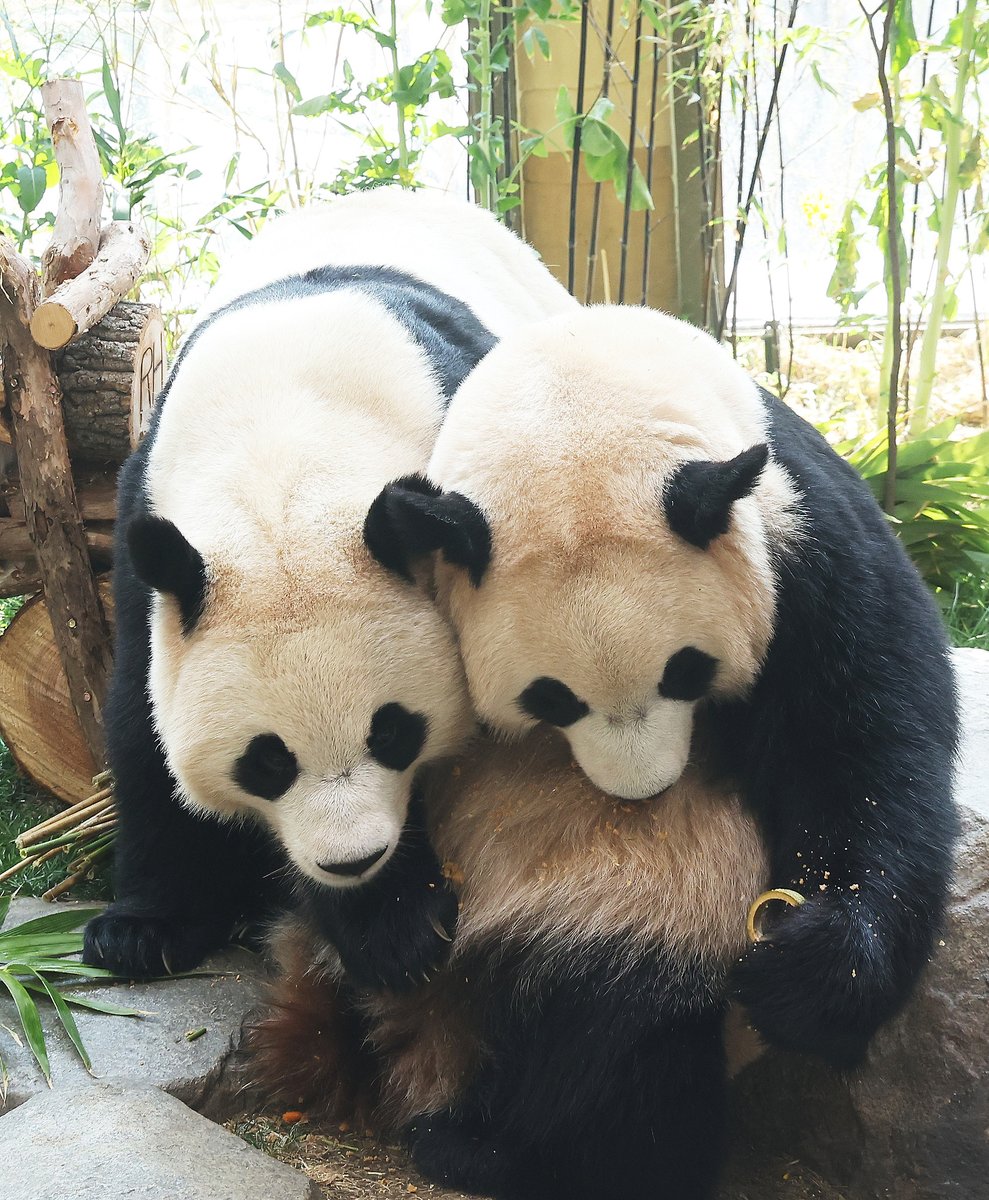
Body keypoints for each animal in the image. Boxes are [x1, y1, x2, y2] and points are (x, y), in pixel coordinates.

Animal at [83, 188, 576, 982]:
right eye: (267, 760)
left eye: (395, 731)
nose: (352, 860)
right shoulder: (151, 533)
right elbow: (141, 723)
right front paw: (140, 931)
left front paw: (396, 928)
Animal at [365, 304, 959, 1068]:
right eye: (550, 698)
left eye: (686, 669)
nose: (644, 790)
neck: (584, 374)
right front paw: (397, 927)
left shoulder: (794, 528)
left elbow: (858, 731)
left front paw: (812, 975)